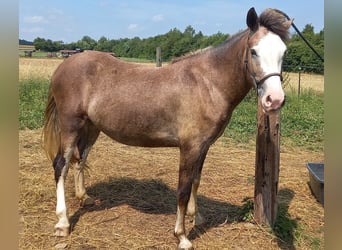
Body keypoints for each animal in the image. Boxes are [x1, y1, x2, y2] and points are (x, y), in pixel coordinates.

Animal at [43, 7, 292, 248]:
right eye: (254, 51)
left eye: (283, 53)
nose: (274, 100)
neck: (207, 83)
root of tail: (63, 66)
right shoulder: (190, 147)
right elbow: (183, 189)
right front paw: (181, 236)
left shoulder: (204, 146)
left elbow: (196, 180)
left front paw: (196, 217)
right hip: (70, 125)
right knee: (61, 165)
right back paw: (62, 223)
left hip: (91, 128)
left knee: (80, 159)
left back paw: (84, 197)